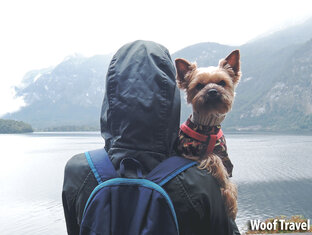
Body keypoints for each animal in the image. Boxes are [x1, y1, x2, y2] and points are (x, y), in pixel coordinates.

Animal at [174, 50, 240, 220]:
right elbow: (214, 160)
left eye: (222, 82)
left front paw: (231, 198)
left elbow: (228, 178)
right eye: (199, 86)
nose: (212, 91)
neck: (208, 128)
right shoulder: (189, 152)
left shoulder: (224, 156)